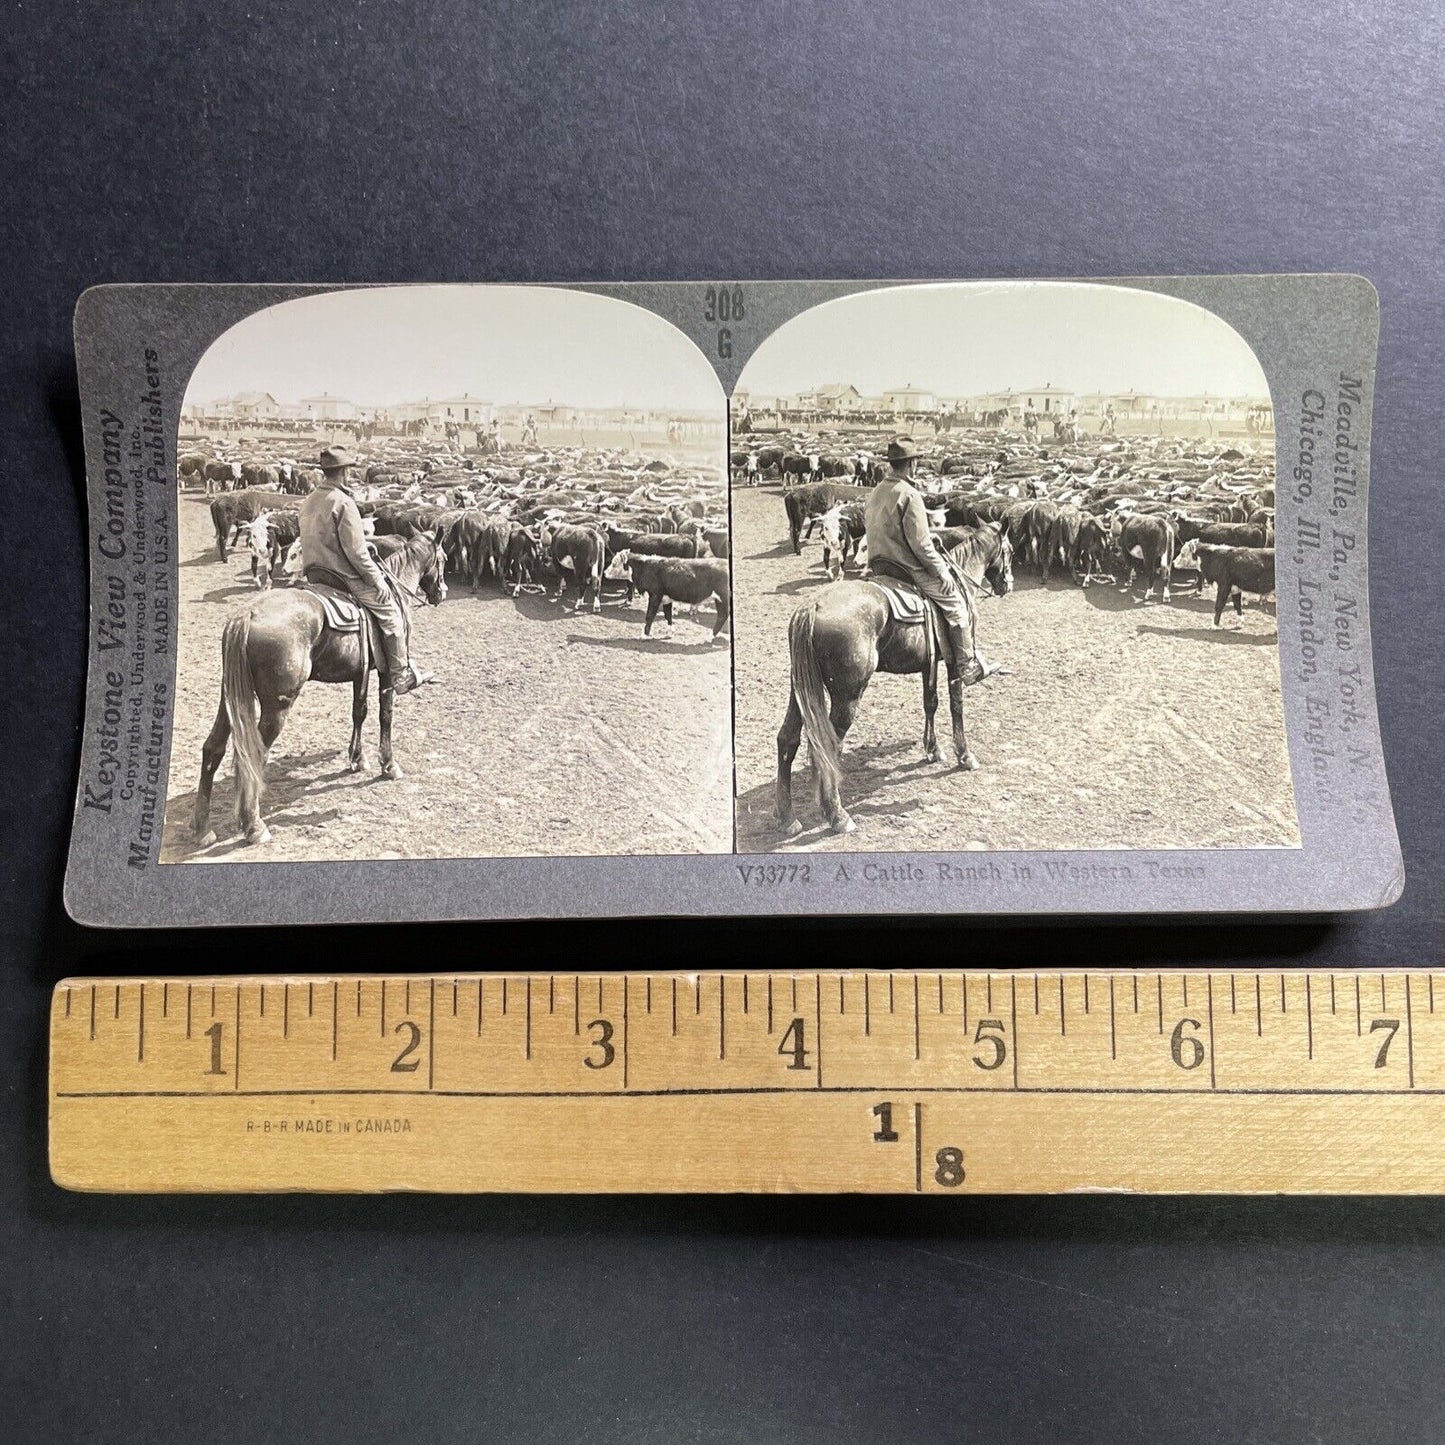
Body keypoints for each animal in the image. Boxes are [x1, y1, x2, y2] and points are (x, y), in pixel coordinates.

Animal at [193, 531, 445, 843]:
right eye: (443, 559)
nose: (441, 592)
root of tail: (247, 615)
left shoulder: (359, 673)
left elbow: (359, 712)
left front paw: (357, 759)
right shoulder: (386, 673)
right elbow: (385, 715)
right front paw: (388, 764)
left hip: (230, 700)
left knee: (212, 748)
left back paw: (203, 828)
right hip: (276, 708)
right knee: (253, 756)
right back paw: (254, 826)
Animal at [774, 520, 1011, 838]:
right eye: (1009, 551)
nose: (1007, 585)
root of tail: (812, 607)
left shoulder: (928, 664)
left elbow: (930, 703)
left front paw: (933, 750)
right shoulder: (952, 662)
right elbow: (956, 706)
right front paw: (964, 755)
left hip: (799, 690)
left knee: (787, 739)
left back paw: (787, 817)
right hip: (847, 697)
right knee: (828, 747)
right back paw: (837, 816)